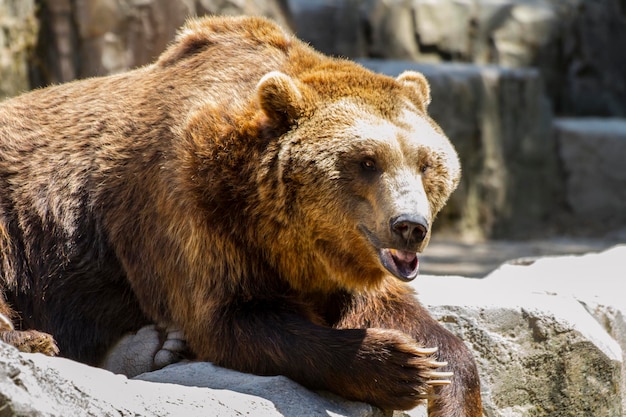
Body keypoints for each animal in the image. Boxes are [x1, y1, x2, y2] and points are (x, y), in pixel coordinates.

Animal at [0, 14, 478, 414]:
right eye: (366, 161)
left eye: (426, 162)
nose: (410, 227)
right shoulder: (192, 210)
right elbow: (233, 319)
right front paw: (398, 365)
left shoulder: (342, 259)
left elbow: (401, 314)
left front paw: (439, 371)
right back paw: (37, 338)